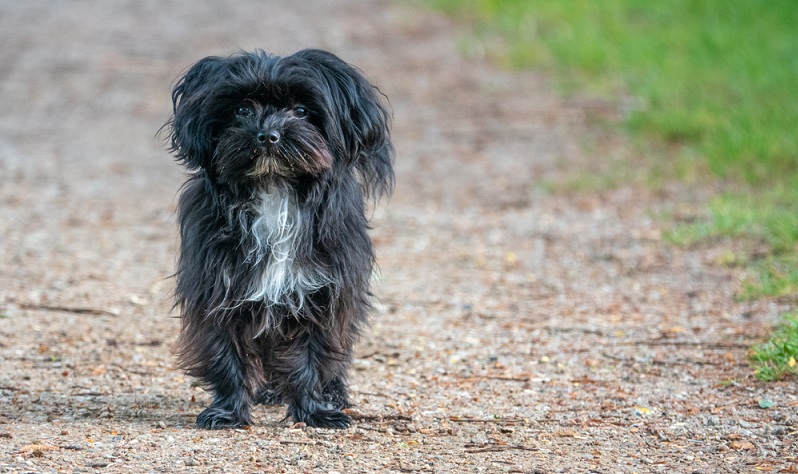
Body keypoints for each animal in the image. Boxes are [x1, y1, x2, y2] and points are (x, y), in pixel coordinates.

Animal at [165, 49, 394, 430]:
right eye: (242, 109)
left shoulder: (323, 295)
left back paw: (331, 394)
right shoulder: (217, 290)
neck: (275, 191)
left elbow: (313, 356)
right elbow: (226, 353)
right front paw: (228, 411)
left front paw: (315, 411)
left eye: (301, 110)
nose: (267, 134)